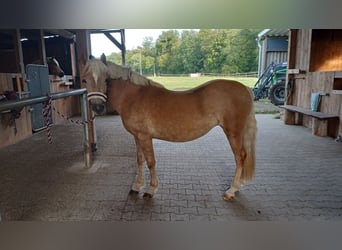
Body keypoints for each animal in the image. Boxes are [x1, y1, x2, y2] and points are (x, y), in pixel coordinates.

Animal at [82, 53, 256, 200]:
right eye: (84, 80)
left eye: (106, 79)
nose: (98, 107)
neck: (132, 96)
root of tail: (245, 88)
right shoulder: (137, 136)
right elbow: (139, 160)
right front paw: (137, 186)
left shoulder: (145, 137)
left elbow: (151, 162)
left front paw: (151, 189)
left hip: (233, 132)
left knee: (240, 157)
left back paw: (232, 190)